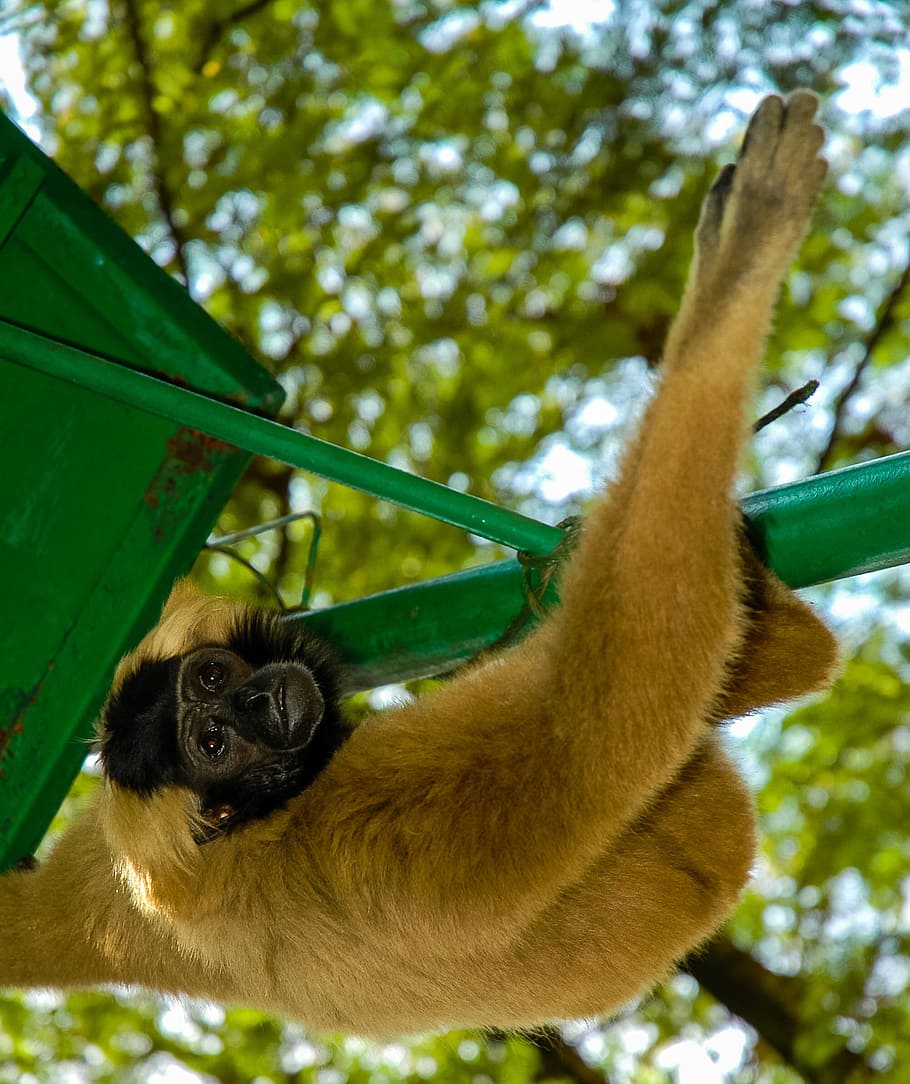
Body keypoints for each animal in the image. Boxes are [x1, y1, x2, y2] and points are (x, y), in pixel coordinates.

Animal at [0, 92, 838, 1035]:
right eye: (213, 741)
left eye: (212, 679)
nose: (258, 703)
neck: (243, 827)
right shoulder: (355, 831)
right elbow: (590, 740)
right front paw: (744, 252)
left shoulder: (118, 888)